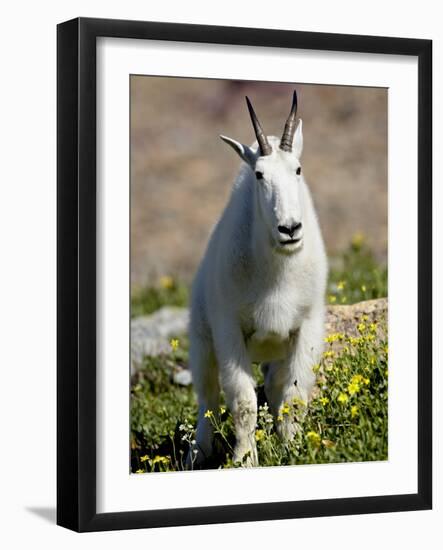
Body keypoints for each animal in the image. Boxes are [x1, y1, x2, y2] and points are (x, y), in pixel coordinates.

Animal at [189, 92, 328, 468]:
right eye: (259, 174)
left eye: (298, 169)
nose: (290, 229)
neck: (277, 272)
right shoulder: (228, 329)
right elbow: (243, 402)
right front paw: (244, 459)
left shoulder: (306, 325)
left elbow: (294, 395)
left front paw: (293, 450)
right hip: (202, 338)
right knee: (207, 398)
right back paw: (198, 452)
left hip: (274, 353)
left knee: (275, 388)